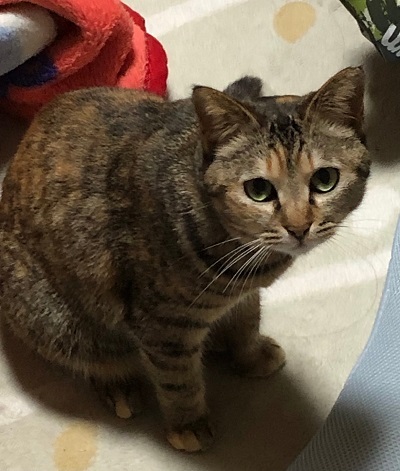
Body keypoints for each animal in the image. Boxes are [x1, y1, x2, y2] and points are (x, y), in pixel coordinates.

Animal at [0, 67, 369, 452]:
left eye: (325, 180)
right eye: (258, 190)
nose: (299, 228)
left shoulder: (244, 295)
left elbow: (247, 321)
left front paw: (249, 354)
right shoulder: (162, 325)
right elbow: (178, 379)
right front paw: (188, 424)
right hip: (56, 322)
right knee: (97, 357)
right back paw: (121, 386)